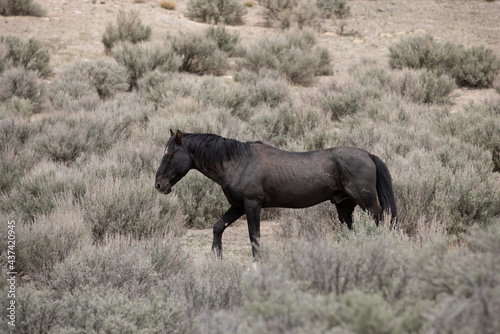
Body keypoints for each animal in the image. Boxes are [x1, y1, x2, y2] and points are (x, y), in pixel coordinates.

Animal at [154, 130, 396, 258]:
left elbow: (254, 236)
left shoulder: (251, 206)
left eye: (171, 154)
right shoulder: (238, 206)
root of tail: (367, 154)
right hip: (344, 205)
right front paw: (217, 257)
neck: (239, 163)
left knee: (381, 221)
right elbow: (218, 226)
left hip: (367, 203)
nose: (159, 185)